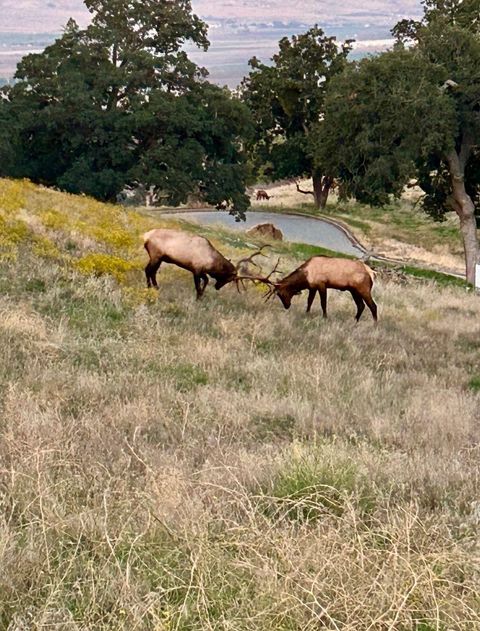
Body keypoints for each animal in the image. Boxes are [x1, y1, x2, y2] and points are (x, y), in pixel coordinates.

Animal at [142, 228, 270, 300]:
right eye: (229, 278)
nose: (217, 287)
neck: (212, 263)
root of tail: (145, 236)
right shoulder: (196, 269)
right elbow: (198, 286)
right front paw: (198, 298)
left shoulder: (202, 271)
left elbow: (206, 280)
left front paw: (202, 296)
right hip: (155, 256)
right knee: (148, 270)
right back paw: (149, 287)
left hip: (160, 258)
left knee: (152, 271)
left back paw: (156, 287)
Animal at [248, 256, 378, 324]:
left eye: (281, 293)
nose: (286, 306)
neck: (306, 277)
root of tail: (372, 273)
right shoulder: (313, 287)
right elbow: (309, 301)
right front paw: (306, 313)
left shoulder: (321, 284)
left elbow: (323, 303)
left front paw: (325, 317)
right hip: (354, 291)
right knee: (361, 306)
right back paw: (355, 321)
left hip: (363, 289)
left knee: (373, 305)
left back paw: (375, 325)